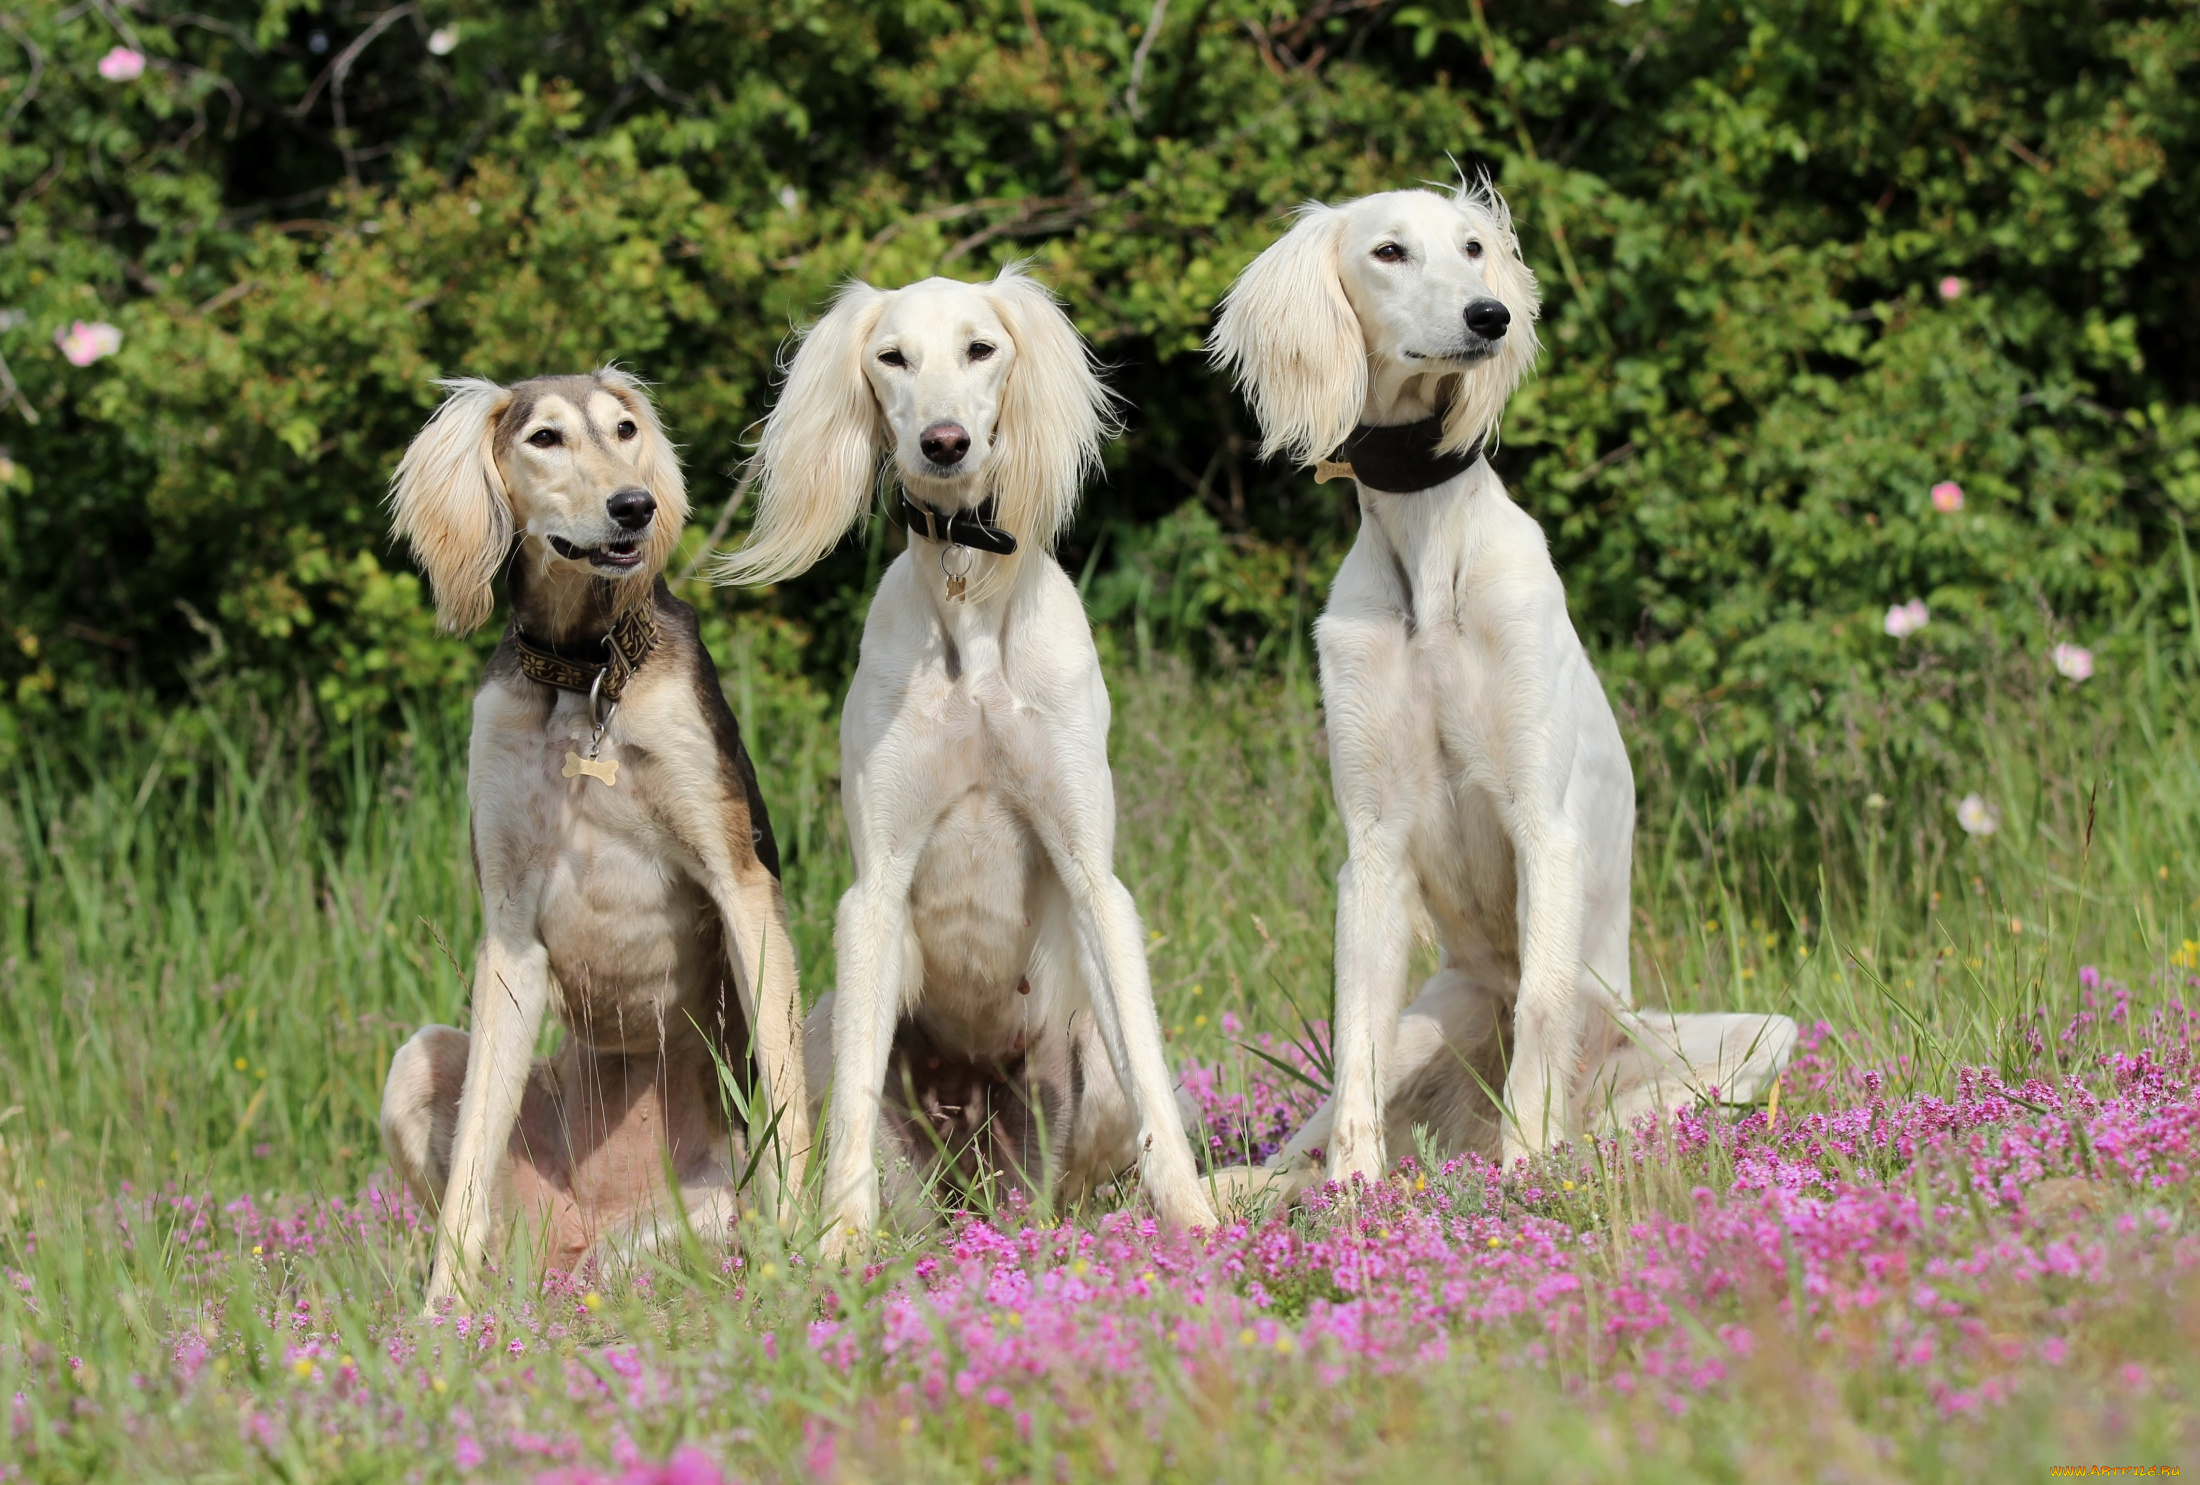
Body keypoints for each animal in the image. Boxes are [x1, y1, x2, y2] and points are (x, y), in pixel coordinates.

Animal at [376, 371, 809, 1311]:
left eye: (624, 430)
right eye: (545, 437)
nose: (633, 506)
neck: (587, 674)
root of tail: (572, 1250)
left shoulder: (742, 886)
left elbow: (790, 1095)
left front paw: (820, 1251)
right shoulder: (508, 928)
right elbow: (471, 1159)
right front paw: (438, 1314)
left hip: (694, 1218)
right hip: (421, 1071)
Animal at [721, 264, 1223, 1240]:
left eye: (981, 347)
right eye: (892, 356)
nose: (943, 443)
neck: (968, 592)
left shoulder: (1092, 874)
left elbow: (1149, 1074)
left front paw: (1194, 1222)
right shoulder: (873, 890)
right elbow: (848, 1126)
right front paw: (840, 1244)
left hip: (1078, 1077)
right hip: (833, 1040)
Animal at [1214, 185, 1795, 1188]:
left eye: (1475, 248)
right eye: (1390, 251)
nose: (1491, 317)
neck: (1428, 553)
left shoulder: (1543, 822)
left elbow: (1542, 1012)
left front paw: (1530, 1172)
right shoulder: (1371, 848)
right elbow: (1353, 1037)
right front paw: (1354, 1193)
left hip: (1749, 1035)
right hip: (1434, 1015)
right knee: (1310, 1134)